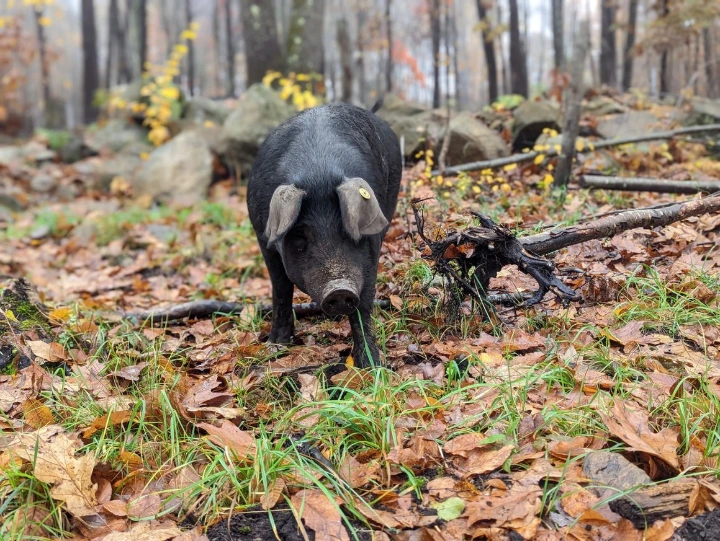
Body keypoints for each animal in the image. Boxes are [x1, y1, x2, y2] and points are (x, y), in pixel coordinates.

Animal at [247, 102, 402, 368]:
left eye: (349, 232)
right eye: (300, 236)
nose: (339, 289)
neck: (317, 173)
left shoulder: (371, 249)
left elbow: (364, 305)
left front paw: (371, 367)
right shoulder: (263, 238)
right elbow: (281, 289)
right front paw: (276, 346)